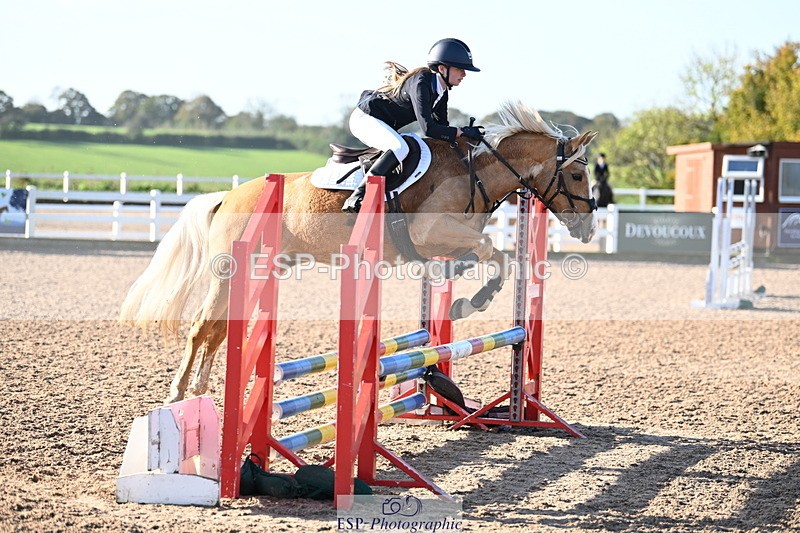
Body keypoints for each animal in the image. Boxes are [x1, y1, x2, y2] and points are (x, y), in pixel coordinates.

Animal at [120, 101, 599, 404]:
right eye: (577, 175)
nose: (590, 227)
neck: (474, 171)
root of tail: (229, 196)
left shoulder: (450, 237)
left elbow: (495, 257)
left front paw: (467, 299)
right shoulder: (431, 232)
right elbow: (486, 249)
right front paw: (465, 296)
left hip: (256, 271)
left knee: (219, 328)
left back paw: (200, 390)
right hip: (233, 269)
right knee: (202, 326)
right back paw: (179, 392)